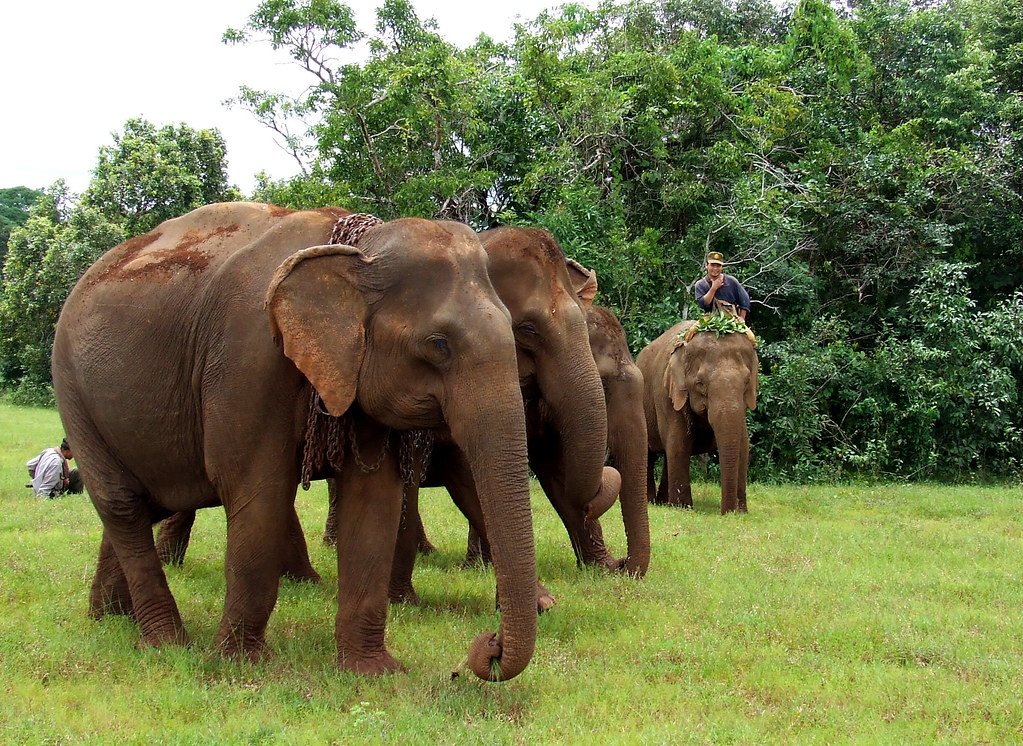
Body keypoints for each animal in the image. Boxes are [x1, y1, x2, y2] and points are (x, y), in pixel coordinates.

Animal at [52, 202, 538, 681]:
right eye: (438, 344)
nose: (485, 648)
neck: (359, 248)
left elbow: (374, 504)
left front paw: (374, 673)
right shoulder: (247, 359)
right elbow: (259, 495)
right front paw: (240, 667)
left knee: (143, 504)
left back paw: (110, 617)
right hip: (72, 392)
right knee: (123, 506)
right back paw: (166, 643)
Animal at [637, 320, 759, 513]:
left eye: (747, 382)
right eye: (700, 384)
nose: (726, 513)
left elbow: (743, 445)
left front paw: (741, 512)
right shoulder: (667, 394)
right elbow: (679, 443)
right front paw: (683, 508)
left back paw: (663, 502)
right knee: (649, 453)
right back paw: (652, 502)